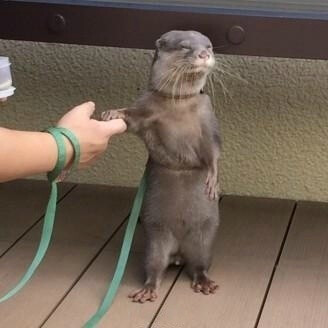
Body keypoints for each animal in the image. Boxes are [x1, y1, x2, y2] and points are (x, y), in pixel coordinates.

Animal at [102, 30, 220, 302]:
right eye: (185, 46)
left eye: (209, 46)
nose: (204, 54)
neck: (178, 104)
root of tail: (179, 251)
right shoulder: (145, 106)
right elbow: (131, 116)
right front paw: (113, 113)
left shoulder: (207, 117)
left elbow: (213, 149)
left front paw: (212, 179)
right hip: (156, 239)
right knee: (154, 266)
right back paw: (147, 289)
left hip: (203, 238)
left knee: (200, 265)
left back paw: (204, 282)